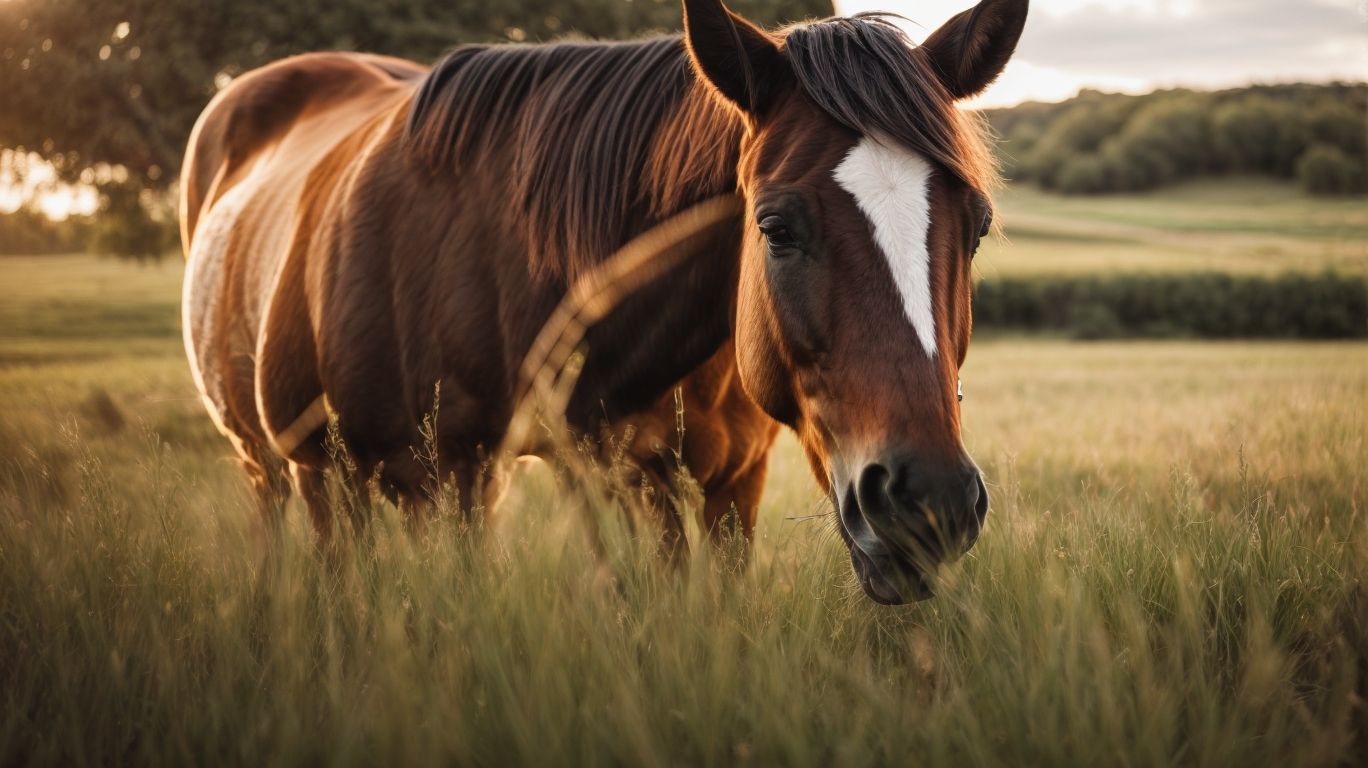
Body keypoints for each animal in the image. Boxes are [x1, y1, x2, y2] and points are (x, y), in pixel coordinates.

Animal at [180, 0, 1027, 604]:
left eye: (977, 227)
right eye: (775, 228)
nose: (928, 501)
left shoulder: (730, 483)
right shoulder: (512, 475)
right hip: (304, 469)